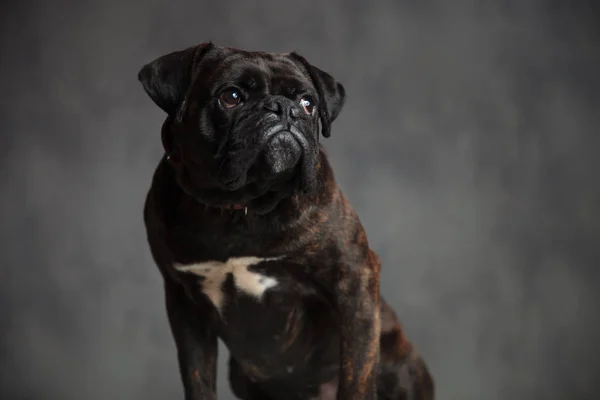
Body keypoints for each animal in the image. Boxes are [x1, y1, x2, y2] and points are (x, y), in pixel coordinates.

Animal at [138, 43, 434, 400]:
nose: (284, 109)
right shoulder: (185, 306)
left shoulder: (354, 277)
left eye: (308, 103)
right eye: (231, 96)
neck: (242, 206)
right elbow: (198, 380)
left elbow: (357, 375)